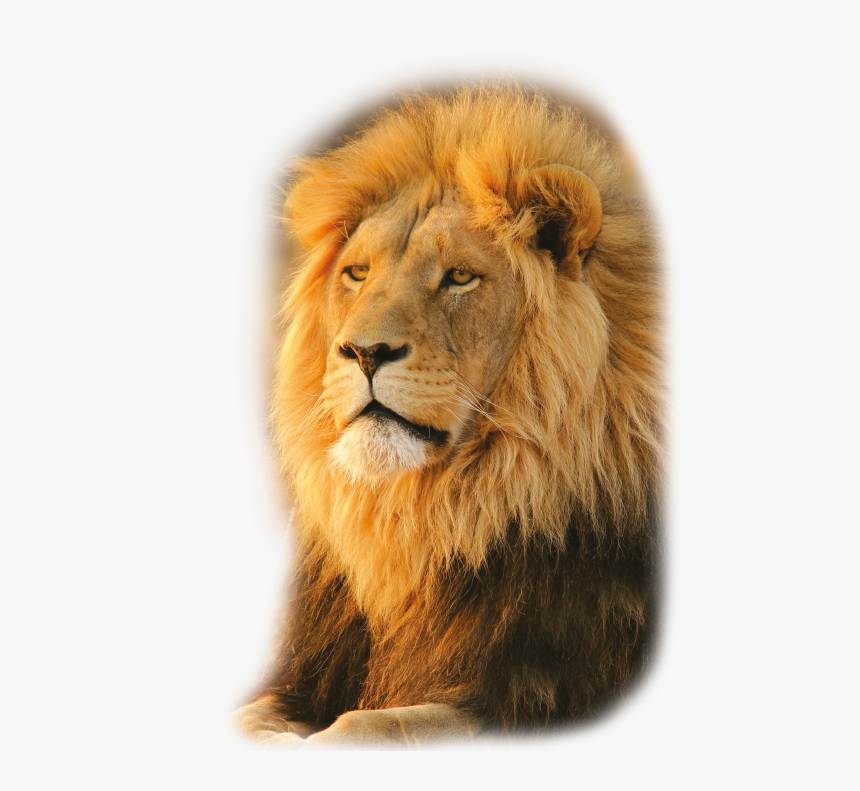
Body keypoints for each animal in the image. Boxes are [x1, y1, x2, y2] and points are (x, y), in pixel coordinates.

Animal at [236, 85, 663, 747]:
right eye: (357, 272)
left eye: (460, 276)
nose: (364, 352)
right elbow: (252, 716)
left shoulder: (531, 700)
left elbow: (373, 727)